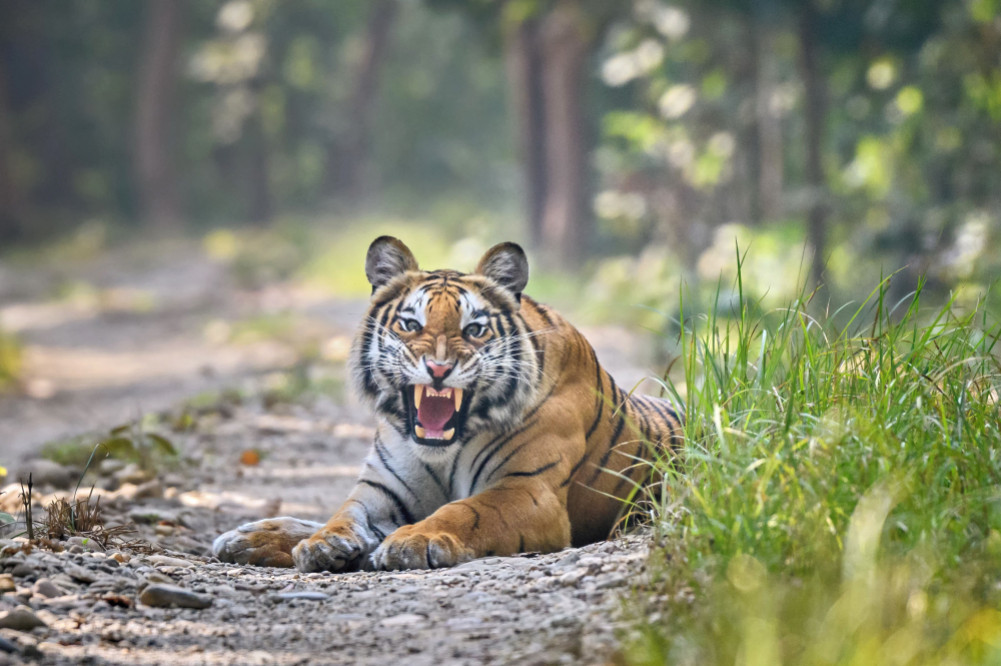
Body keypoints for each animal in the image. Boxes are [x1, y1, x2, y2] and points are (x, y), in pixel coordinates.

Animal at [212, 236, 683, 571]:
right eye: (410, 324)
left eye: (474, 329)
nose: (438, 368)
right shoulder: (383, 488)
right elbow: (344, 513)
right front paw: (323, 544)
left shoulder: (527, 489)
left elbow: (466, 511)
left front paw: (412, 541)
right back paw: (247, 537)